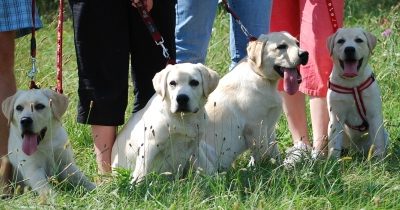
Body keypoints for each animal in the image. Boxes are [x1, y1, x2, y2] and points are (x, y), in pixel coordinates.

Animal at [195, 32, 308, 173]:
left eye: (297, 43)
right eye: (281, 46)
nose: (305, 54)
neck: (260, 77)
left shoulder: (269, 127)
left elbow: (273, 149)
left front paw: (280, 167)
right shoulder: (256, 126)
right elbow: (263, 152)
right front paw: (262, 169)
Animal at [326, 27, 390, 159]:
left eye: (359, 40)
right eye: (340, 41)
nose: (349, 49)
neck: (352, 84)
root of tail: (356, 151)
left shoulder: (374, 115)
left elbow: (378, 140)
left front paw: (379, 159)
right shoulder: (336, 117)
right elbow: (334, 142)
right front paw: (332, 160)